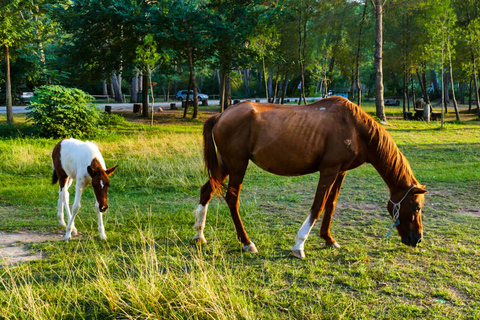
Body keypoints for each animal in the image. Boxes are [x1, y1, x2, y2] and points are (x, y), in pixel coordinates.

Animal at [193, 96, 426, 258]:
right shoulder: (329, 170)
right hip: (238, 166)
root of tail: (221, 115)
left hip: (225, 166)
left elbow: (331, 204)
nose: (417, 239)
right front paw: (299, 245)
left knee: (207, 191)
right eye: (416, 208)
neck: (356, 128)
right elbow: (318, 205)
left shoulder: (341, 172)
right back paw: (246, 242)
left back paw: (199, 235)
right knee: (232, 199)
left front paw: (329, 239)